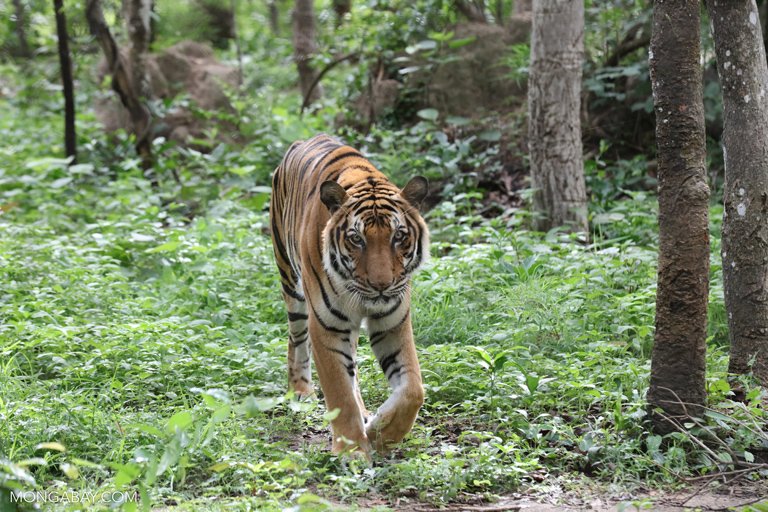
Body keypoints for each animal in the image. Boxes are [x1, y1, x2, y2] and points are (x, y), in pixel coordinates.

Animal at [269, 133, 430, 455]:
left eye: (399, 236)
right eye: (357, 239)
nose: (381, 285)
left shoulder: (393, 322)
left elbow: (413, 390)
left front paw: (380, 433)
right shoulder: (327, 325)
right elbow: (339, 392)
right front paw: (353, 451)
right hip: (291, 283)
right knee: (296, 339)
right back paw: (301, 392)